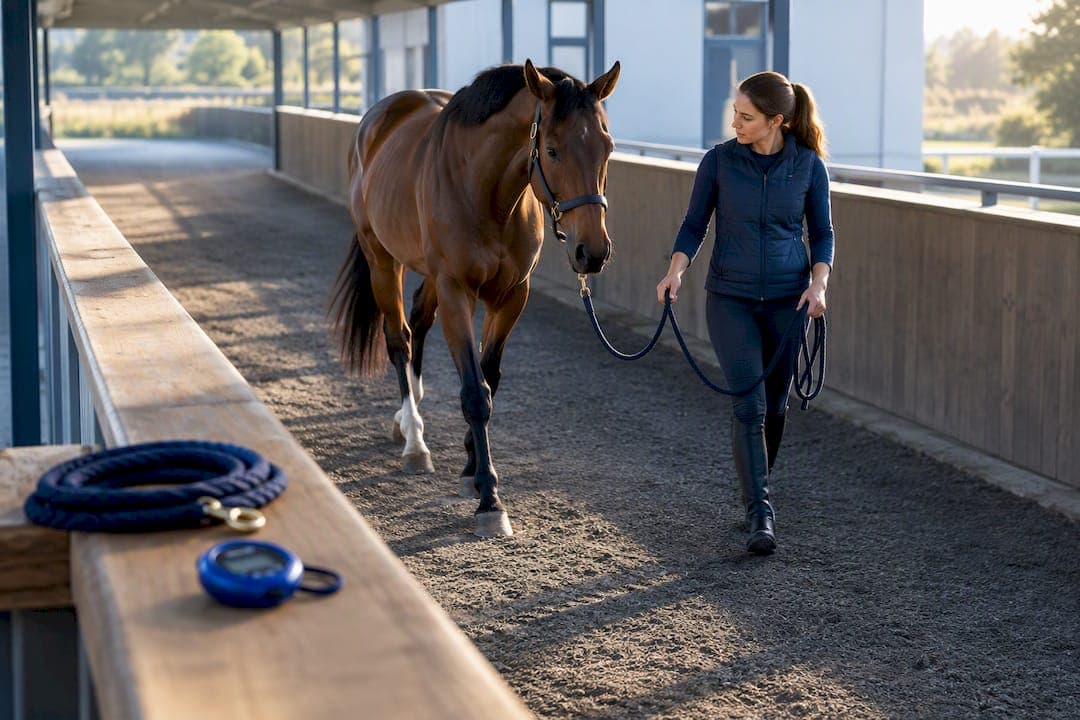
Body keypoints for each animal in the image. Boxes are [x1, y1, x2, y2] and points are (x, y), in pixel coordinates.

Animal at [331, 59, 620, 537]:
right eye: (552, 150)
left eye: (608, 147)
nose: (592, 252)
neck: (485, 194)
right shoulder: (456, 291)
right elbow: (473, 391)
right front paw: (489, 497)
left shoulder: (511, 295)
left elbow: (490, 377)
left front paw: (471, 466)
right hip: (382, 259)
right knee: (399, 337)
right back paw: (414, 439)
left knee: (419, 319)